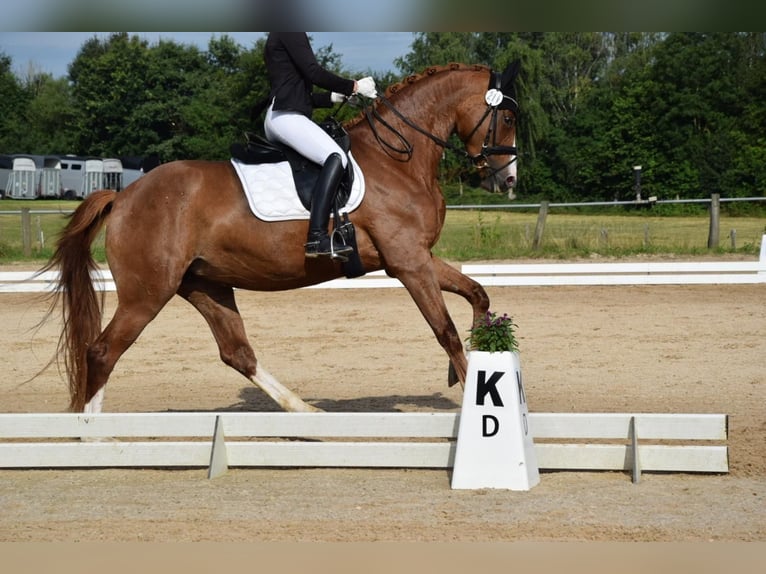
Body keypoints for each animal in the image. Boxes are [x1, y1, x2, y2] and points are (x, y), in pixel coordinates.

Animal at [42, 62, 520, 414]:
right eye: (509, 117)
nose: (508, 179)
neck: (397, 158)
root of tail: (123, 195)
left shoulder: (416, 257)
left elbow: (477, 294)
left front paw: (465, 369)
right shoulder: (408, 262)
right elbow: (445, 330)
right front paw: (469, 392)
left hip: (203, 283)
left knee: (237, 352)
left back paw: (307, 414)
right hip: (147, 293)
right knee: (103, 353)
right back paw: (93, 439)